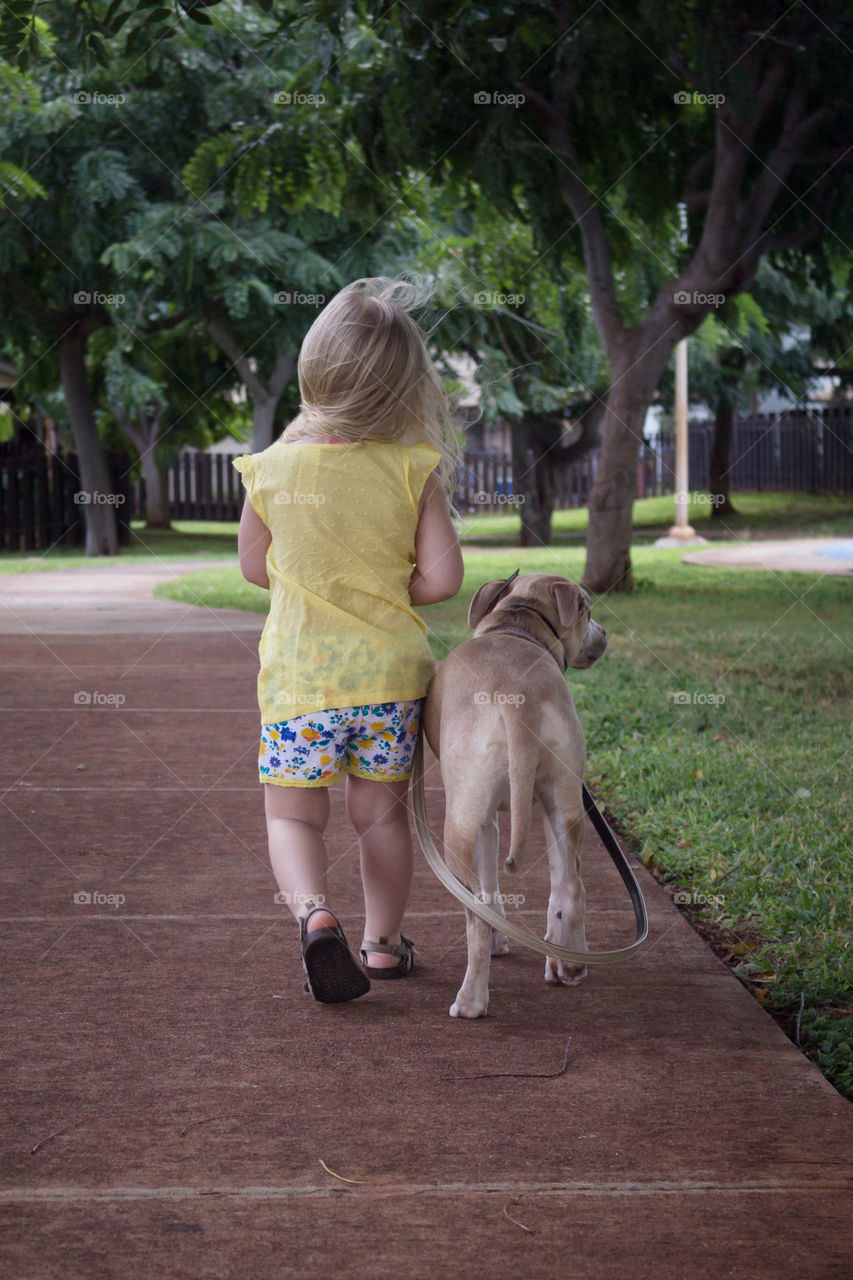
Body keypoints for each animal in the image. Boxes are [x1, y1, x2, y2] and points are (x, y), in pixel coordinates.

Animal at [420, 570, 604, 1018]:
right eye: (588, 611)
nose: (604, 635)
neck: (516, 625)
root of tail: (517, 698)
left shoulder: (483, 821)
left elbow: (488, 892)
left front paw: (498, 940)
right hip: (564, 801)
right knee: (570, 884)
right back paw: (568, 962)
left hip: (459, 824)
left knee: (474, 914)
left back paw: (471, 1000)